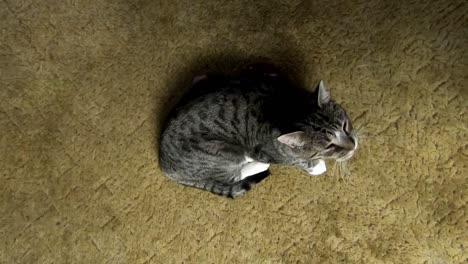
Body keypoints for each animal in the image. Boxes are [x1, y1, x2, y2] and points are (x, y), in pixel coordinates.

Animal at [158, 65, 358, 198]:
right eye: (329, 146)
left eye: (344, 126)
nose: (353, 146)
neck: (290, 106)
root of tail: (164, 164)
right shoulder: (270, 152)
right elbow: (297, 161)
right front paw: (317, 165)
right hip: (223, 151)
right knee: (232, 175)